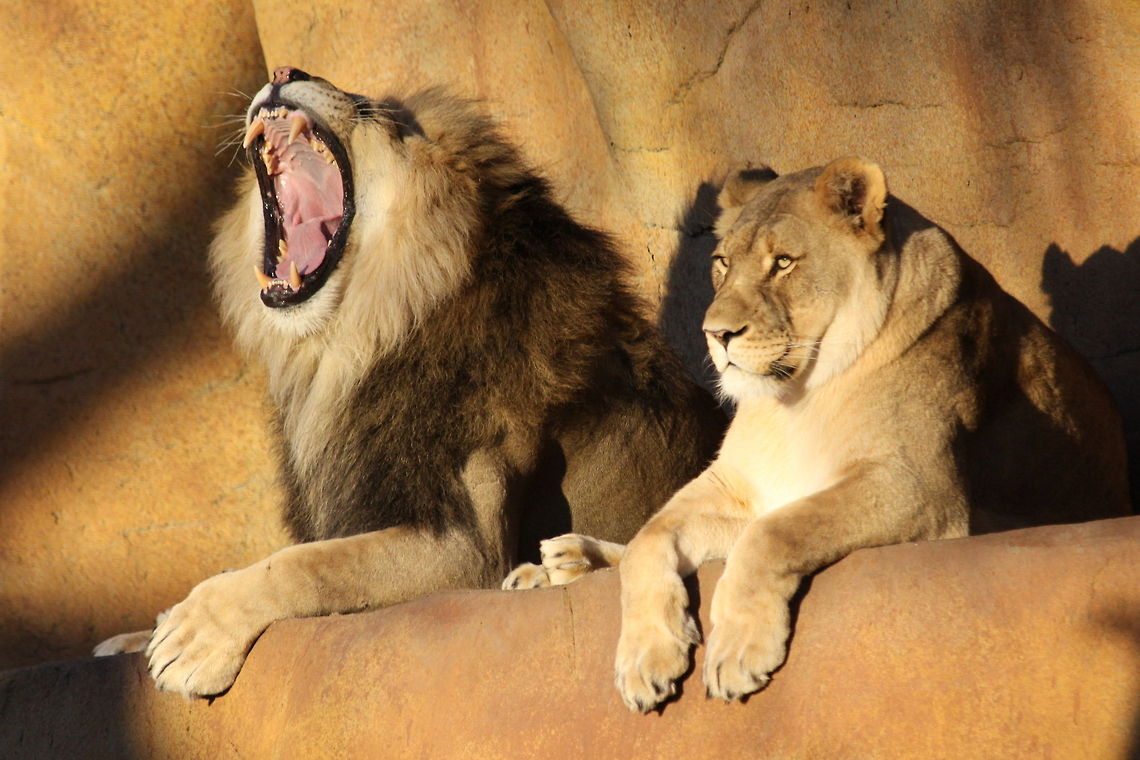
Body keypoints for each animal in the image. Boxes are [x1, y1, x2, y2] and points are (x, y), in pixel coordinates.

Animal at [93, 67, 724, 698]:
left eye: (371, 110)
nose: (284, 73)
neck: (352, 340)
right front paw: (139, 632)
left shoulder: (463, 551)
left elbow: (308, 564)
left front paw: (194, 633)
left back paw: (558, 570)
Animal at [511, 157, 1130, 712]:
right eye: (722, 263)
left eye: (784, 262)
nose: (716, 334)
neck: (794, 399)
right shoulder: (737, 487)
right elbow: (651, 536)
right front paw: (645, 660)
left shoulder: (918, 487)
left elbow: (772, 532)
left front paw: (737, 652)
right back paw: (559, 562)